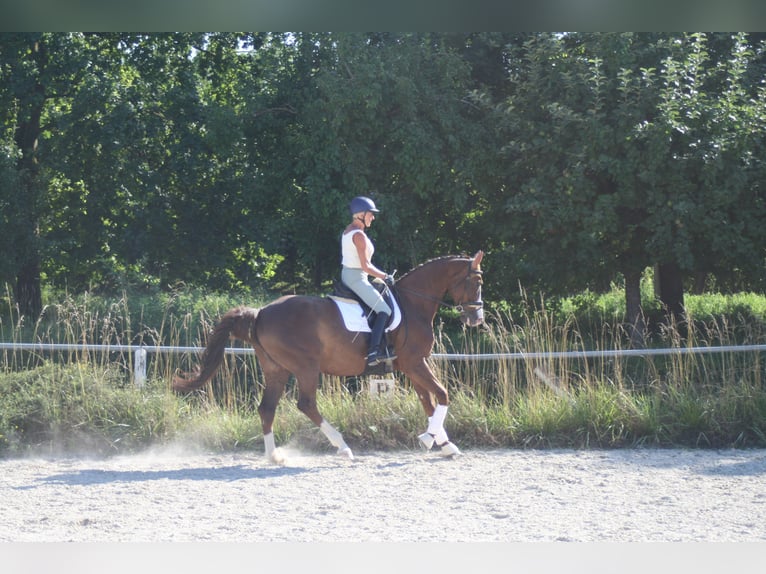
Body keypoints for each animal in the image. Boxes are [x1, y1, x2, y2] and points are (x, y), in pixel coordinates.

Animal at [174, 251, 486, 464]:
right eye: (476, 282)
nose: (476, 319)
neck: (413, 304)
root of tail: (261, 312)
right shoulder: (415, 362)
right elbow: (442, 395)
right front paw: (428, 439)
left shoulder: (411, 365)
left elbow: (428, 402)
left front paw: (443, 443)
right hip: (305, 367)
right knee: (306, 404)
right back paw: (342, 446)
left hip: (276, 369)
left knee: (267, 408)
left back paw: (274, 456)